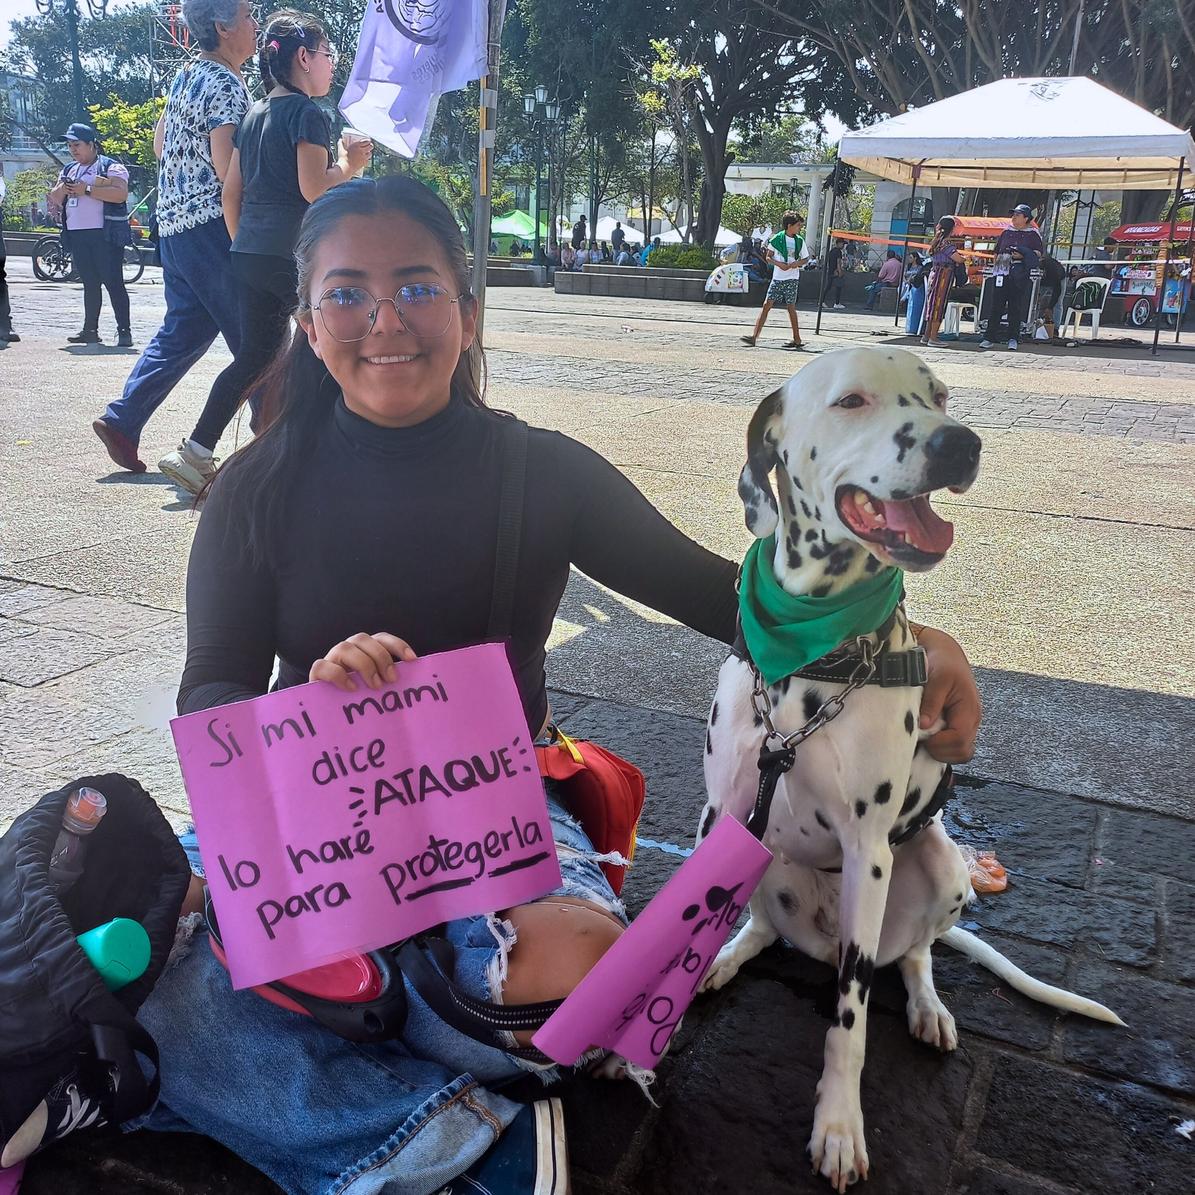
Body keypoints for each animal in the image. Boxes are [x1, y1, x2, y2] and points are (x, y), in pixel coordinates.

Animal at [697, 346, 1122, 1193]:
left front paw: (837, 1125)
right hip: (762, 853)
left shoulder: (869, 849)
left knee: (916, 955)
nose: (960, 443)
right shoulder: (718, 812)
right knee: (757, 925)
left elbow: (850, 1021)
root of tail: (821, 936)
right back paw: (728, 957)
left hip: (937, 863)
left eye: (940, 396)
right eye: (851, 400)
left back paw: (927, 1006)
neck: (813, 655)